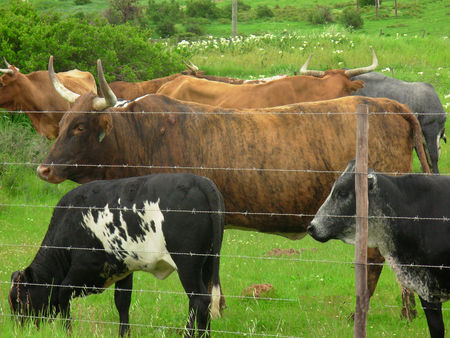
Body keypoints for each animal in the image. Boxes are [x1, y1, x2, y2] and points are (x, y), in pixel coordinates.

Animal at [9, 173, 229, 336]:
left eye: (20, 301)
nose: (17, 330)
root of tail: (201, 181)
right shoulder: (123, 268)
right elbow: (122, 303)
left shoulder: (83, 267)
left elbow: (63, 293)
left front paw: (67, 332)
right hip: (207, 262)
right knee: (204, 300)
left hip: (187, 263)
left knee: (199, 300)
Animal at [37, 57, 430, 312]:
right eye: (64, 121)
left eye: (80, 127)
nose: (44, 168)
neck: (145, 134)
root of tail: (388, 104)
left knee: (377, 261)